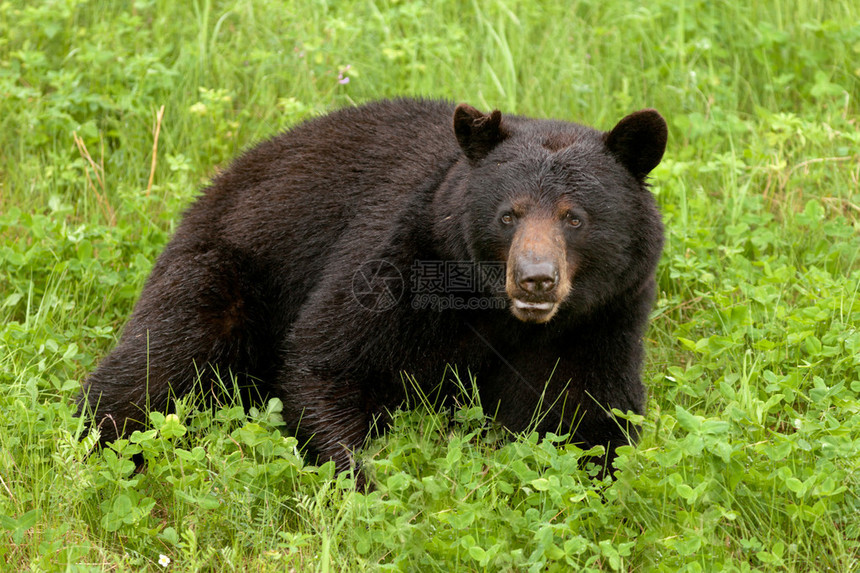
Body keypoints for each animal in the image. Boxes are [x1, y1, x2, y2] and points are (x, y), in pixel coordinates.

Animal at [79, 99, 664, 482]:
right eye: (508, 214)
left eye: (574, 216)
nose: (536, 278)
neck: (496, 312)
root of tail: (215, 186)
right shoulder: (399, 262)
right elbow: (328, 359)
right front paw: (360, 482)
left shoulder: (601, 320)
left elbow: (589, 414)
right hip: (223, 271)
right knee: (163, 361)